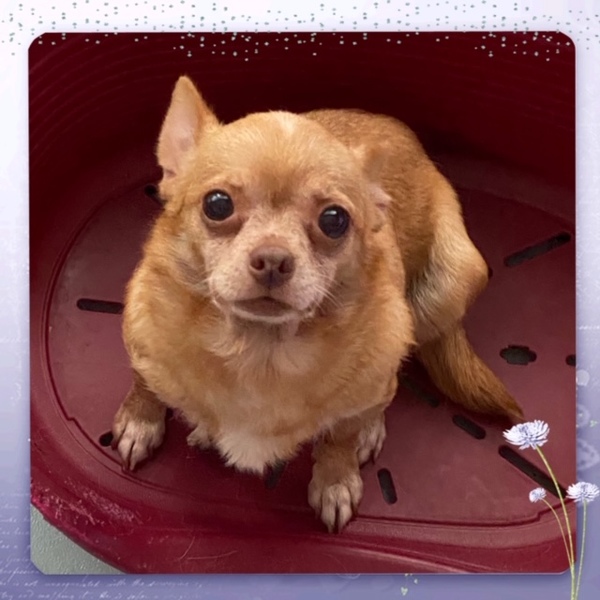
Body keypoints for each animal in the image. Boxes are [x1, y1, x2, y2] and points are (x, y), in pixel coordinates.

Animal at [111, 75, 524, 533]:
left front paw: (335, 480)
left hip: (448, 286)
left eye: (334, 220)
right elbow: (144, 384)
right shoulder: (144, 345)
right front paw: (139, 422)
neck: (258, 352)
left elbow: (339, 436)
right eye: (217, 204)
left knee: (392, 379)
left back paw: (371, 429)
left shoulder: (359, 393)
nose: (273, 259)